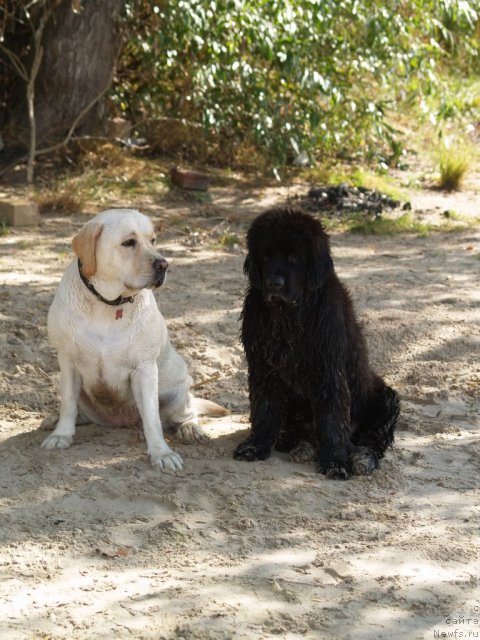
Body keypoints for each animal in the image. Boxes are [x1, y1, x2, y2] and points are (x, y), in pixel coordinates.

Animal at [42, 209, 226, 470]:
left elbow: (152, 417)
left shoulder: (144, 369)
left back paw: (189, 427)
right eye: (129, 242)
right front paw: (61, 434)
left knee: (186, 411)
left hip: (178, 390)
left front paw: (161, 453)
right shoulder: (68, 361)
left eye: (153, 240)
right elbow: (68, 402)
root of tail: (119, 421)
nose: (164, 264)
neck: (107, 304)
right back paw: (57, 420)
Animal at [234, 208, 400, 478]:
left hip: (385, 398)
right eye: (266, 256)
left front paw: (336, 461)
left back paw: (363, 457)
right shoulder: (263, 366)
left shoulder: (328, 369)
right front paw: (255, 445)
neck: (289, 317)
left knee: (373, 438)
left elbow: (332, 418)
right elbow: (265, 409)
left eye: (293, 257)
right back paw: (303, 447)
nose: (274, 284)